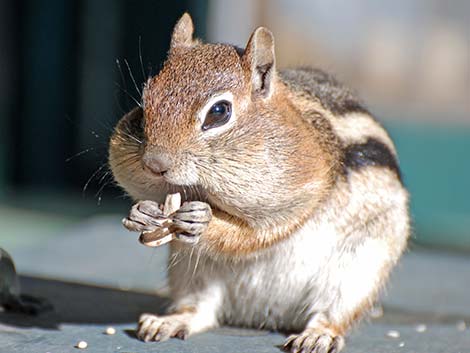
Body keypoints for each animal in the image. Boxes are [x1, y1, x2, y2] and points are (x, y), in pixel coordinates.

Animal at [108, 12, 410, 350]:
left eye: (219, 111)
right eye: (146, 99)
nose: (154, 163)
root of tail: (264, 314)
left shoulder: (301, 192)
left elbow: (257, 233)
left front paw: (203, 221)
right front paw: (140, 213)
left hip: (358, 271)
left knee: (333, 312)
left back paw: (318, 334)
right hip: (189, 271)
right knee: (200, 309)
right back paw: (171, 320)